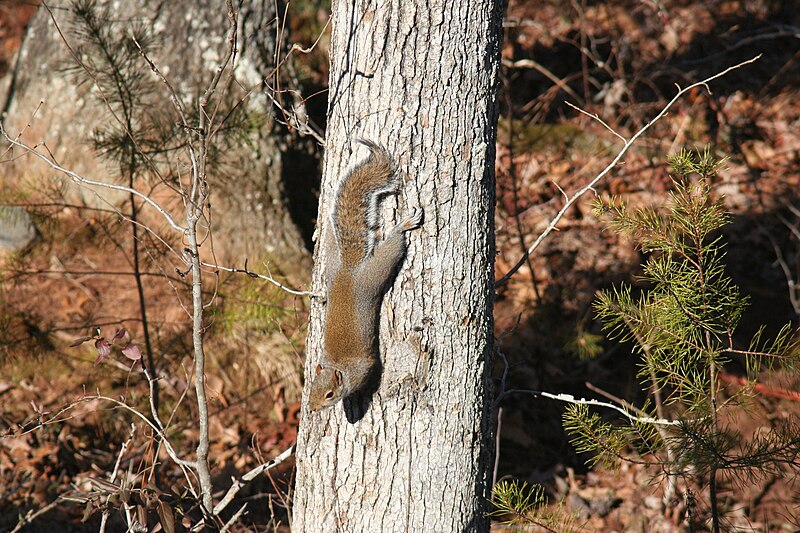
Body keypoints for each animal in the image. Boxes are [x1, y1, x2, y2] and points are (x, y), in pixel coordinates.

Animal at [304, 139, 422, 410]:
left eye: (329, 394)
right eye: (312, 388)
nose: (312, 408)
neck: (338, 366)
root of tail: (348, 269)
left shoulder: (364, 367)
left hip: (375, 273)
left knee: (392, 247)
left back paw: (403, 226)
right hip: (332, 263)